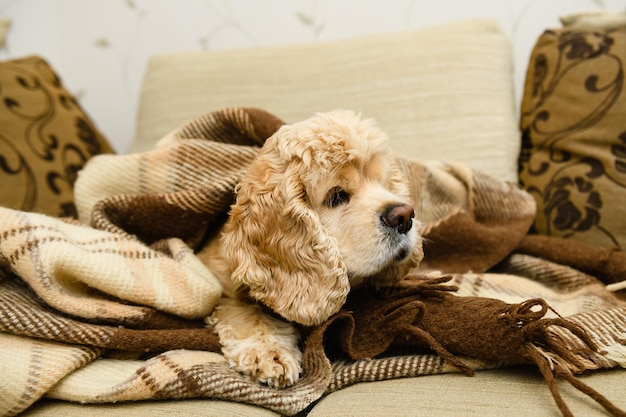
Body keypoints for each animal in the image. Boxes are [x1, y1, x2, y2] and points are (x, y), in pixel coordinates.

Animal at [202, 109, 422, 386]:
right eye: (337, 196)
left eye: (384, 184)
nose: (404, 216)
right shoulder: (221, 285)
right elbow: (243, 309)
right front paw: (268, 351)